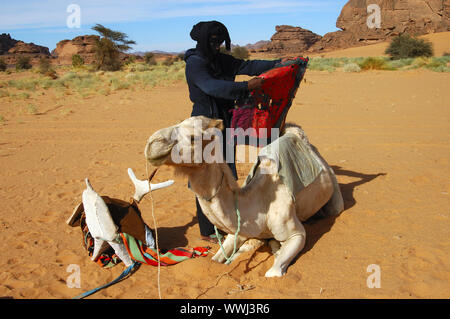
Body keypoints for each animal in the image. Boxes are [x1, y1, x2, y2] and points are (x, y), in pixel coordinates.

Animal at [145, 117, 344, 278]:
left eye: (193, 137)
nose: (152, 142)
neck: (256, 203)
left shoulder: (295, 233)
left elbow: (273, 272)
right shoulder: (238, 231)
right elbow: (216, 259)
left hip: (333, 189)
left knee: (334, 208)